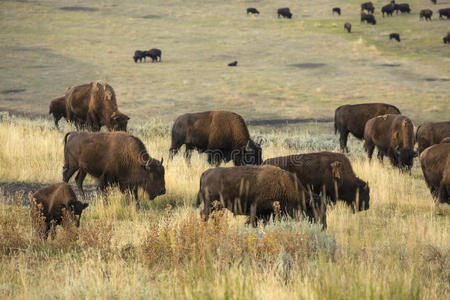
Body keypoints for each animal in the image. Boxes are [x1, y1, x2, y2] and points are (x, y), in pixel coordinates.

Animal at [195, 164, 326, 227]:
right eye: (314, 208)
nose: (324, 226)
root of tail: (206, 173)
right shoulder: (256, 211)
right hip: (211, 205)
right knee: (205, 216)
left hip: (217, 207)